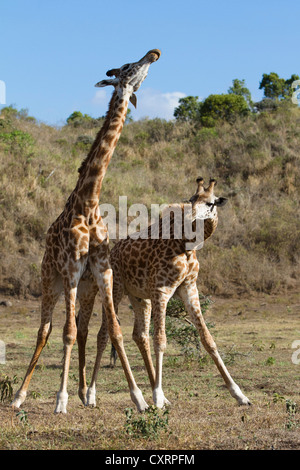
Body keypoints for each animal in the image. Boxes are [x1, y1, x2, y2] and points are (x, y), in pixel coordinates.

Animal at [11, 48, 162, 414]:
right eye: (129, 67)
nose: (154, 52)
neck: (89, 202)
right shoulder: (70, 269)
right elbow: (63, 331)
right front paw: (60, 399)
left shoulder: (103, 271)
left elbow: (115, 331)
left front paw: (139, 398)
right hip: (50, 279)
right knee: (46, 328)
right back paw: (21, 395)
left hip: (87, 288)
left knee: (81, 327)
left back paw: (82, 392)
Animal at [75, 176, 251, 408]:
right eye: (191, 199)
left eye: (211, 203)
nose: (192, 215)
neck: (187, 245)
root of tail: (112, 252)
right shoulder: (162, 290)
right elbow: (161, 340)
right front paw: (157, 396)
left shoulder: (188, 288)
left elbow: (207, 339)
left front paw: (239, 394)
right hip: (116, 290)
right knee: (104, 334)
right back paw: (92, 395)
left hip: (140, 297)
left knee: (139, 335)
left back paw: (157, 394)